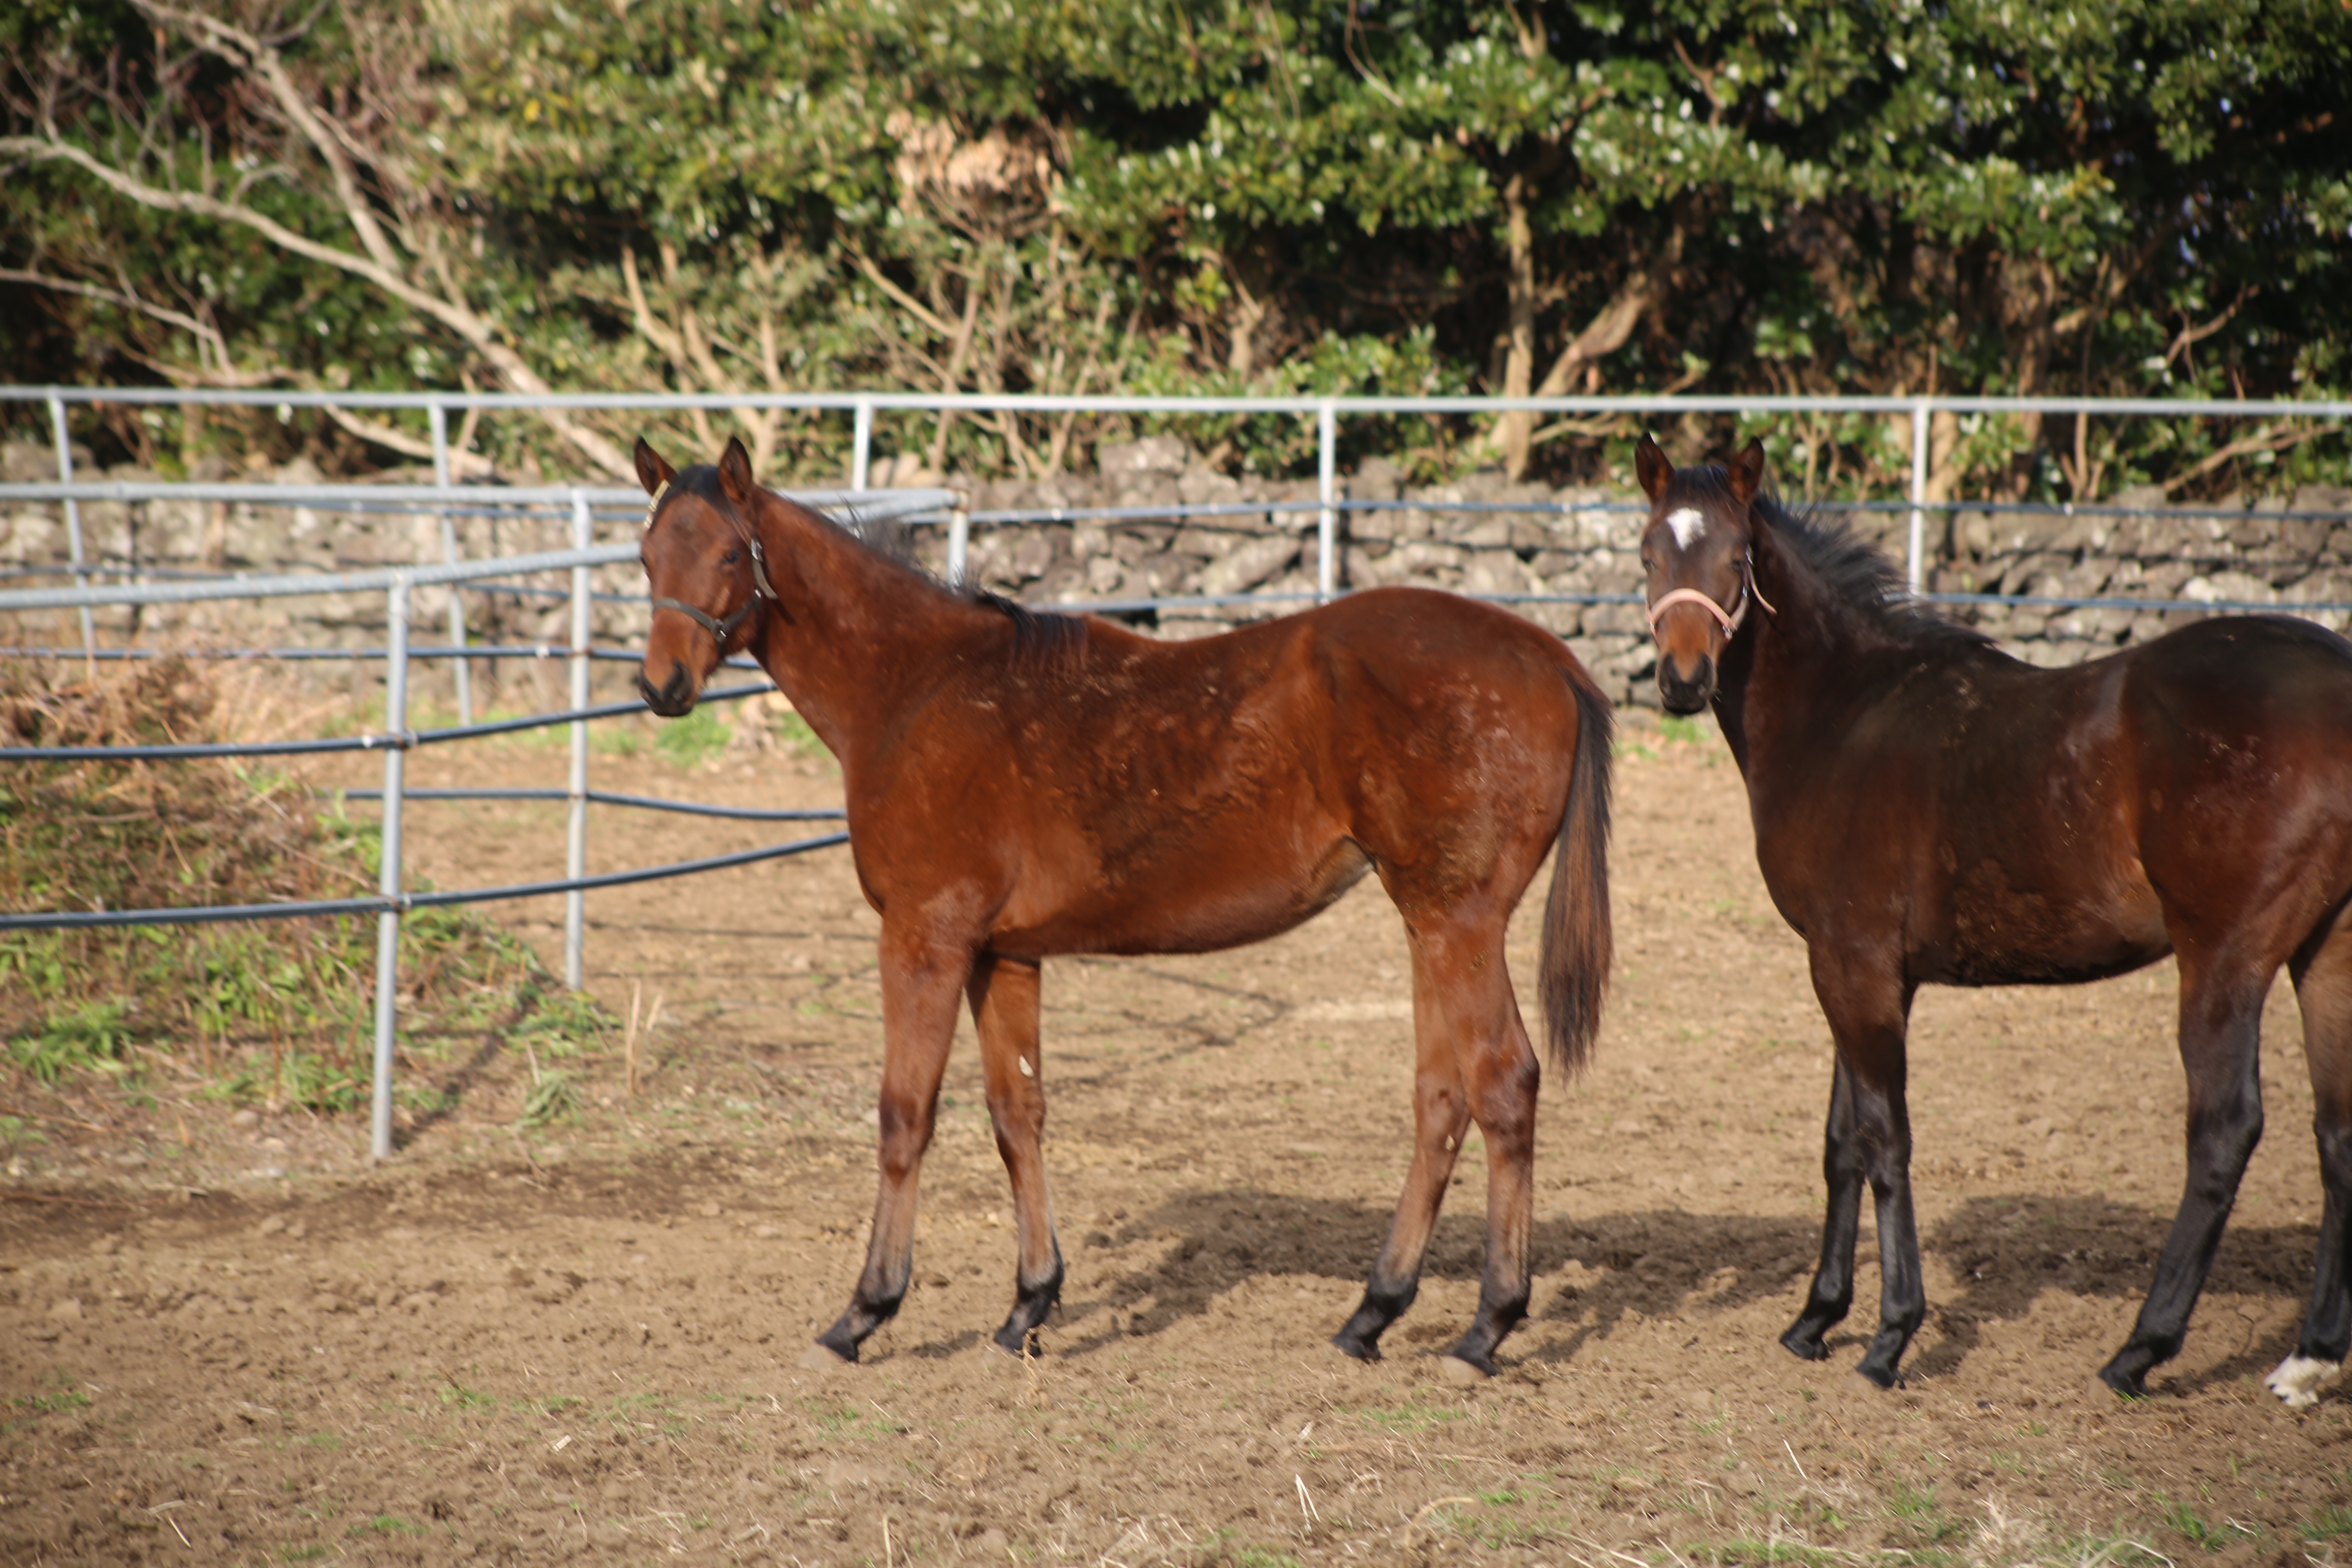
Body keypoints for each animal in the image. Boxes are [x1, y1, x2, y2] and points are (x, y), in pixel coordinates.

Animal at [630, 439, 1618, 1373]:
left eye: (729, 553)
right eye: (645, 556)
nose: (660, 688)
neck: (921, 689)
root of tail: (1552, 657)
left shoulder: (926, 937)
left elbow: (905, 1117)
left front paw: (863, 1314)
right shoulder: (1004, 952)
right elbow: (1016, 1115)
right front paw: (1027, 1307)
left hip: (1458, 920)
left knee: (1504, 1085)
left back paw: (1486, 1328)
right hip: (1428, 922)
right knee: (1442, 1099)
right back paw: (1373, 1315)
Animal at [1637, 435, 2352, 1401]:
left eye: (1733, 557)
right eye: (1649, 552)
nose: (1682, 682)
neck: (1845, 715)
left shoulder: (1854, 967)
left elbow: (1885, 1140)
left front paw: (1890, 1336)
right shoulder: (1861, 970)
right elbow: (1842, 1142)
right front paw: (1816, 1318)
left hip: (2226, 958)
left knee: (2223, 1133)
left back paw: (2140, 1349)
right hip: (2326, 953)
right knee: (2337, 1132)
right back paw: (2310, 1356)